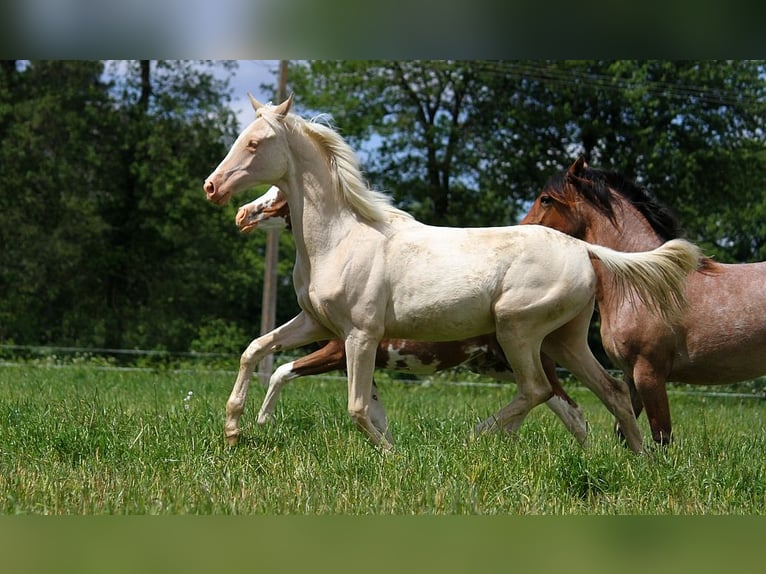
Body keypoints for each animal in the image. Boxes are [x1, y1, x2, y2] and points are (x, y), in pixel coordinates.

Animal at [202, 94, 704, 454]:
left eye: (255, 142)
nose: (213, 188)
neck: (340, 237)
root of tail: (584, 248)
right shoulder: (318, 324)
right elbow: (256, 350)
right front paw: (233, 431)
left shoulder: (359, 335)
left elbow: (358, 408)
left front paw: (394, 456)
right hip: (565, 339)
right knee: (612, 393)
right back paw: (637, 462)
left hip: (518, 331)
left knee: (538, 390)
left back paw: (475, 438)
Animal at [520, 156, 766, 446]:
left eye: (546, 199)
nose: (521, 233)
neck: (642, 281)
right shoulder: (631, 376)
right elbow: (624, 431)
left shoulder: (649, 374)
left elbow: (661, 435)